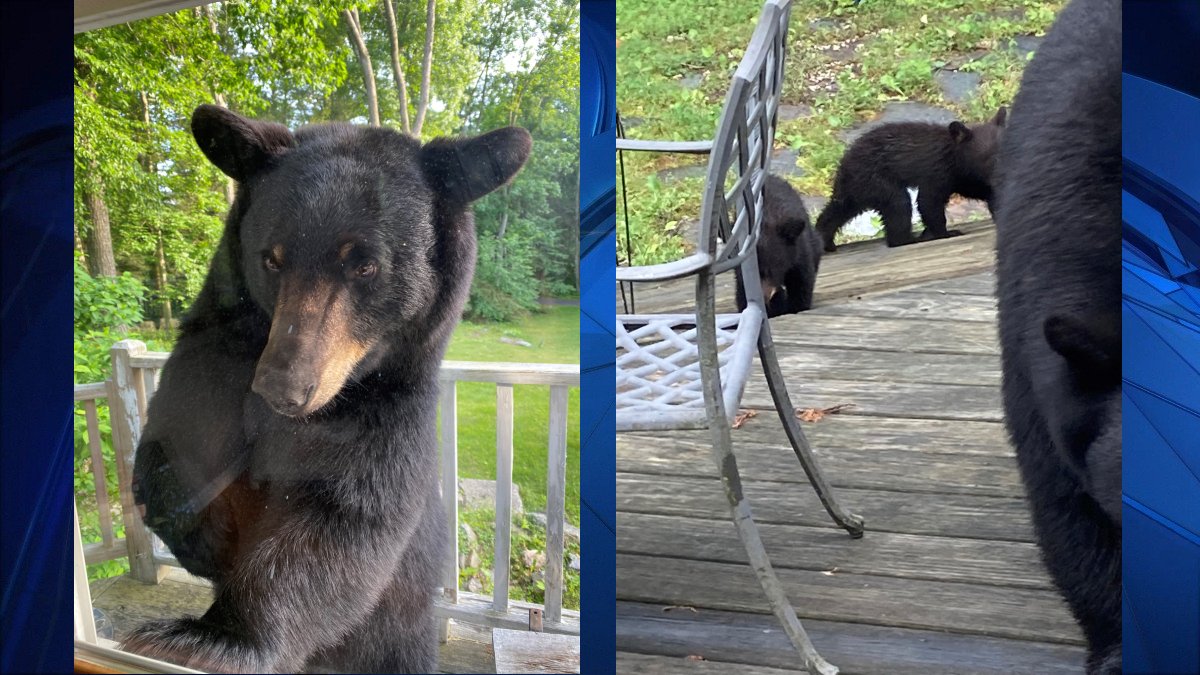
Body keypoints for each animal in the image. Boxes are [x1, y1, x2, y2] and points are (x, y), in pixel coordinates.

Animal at [122, 104, 531, 674]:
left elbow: (343, 523)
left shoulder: (389, 409)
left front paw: (211, 639)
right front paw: (208, 536)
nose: (283, 387)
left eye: (365, 264)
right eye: (271, 257)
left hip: (400, 641)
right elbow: (172, 440)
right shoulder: (217, 352)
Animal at [735, 174, 822, 317]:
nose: (764, 299)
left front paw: (797, 306)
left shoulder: (798, 252)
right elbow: (742, 290)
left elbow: (801, 280)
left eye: (771, 270)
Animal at [815, 107, 1007, 252]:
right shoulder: (937, 172)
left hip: (856, 189)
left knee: (838, 209)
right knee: (898, 205)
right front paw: (945, 233)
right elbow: (928, 203)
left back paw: (825, 241)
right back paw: (909, 239)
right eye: (991, 158)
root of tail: (844, 164)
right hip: (876, 179)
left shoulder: (968, 179)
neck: (956, 159)